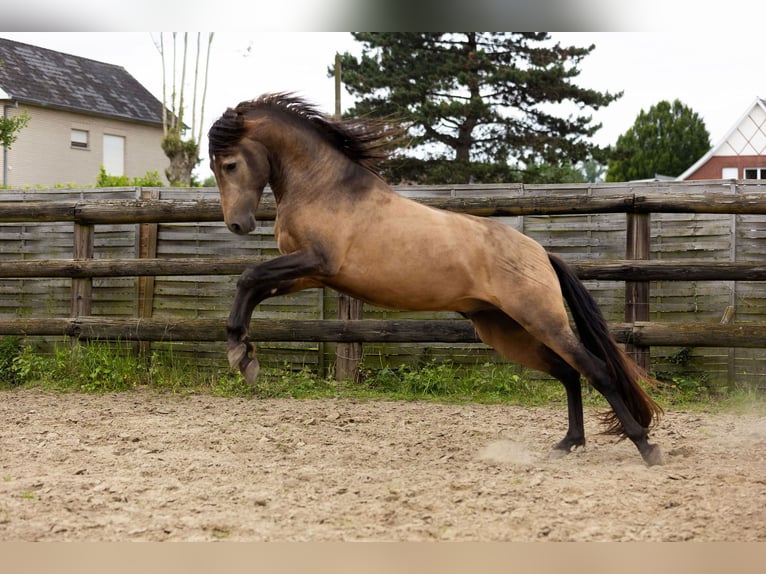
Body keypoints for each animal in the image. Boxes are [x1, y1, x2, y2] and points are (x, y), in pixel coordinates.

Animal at [208, 91, 664, 468]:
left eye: (229, 164)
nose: (237, 224)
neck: (325, 188)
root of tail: (540, 254)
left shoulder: (317, 261)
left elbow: (248, 276)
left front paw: (239, 354)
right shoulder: (312, 274)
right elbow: (253, 286)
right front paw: (243, 354)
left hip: (541, 319)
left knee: (595, 369)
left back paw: (646, 446)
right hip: (506, 330)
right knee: (568, 373)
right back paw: (567, 444)